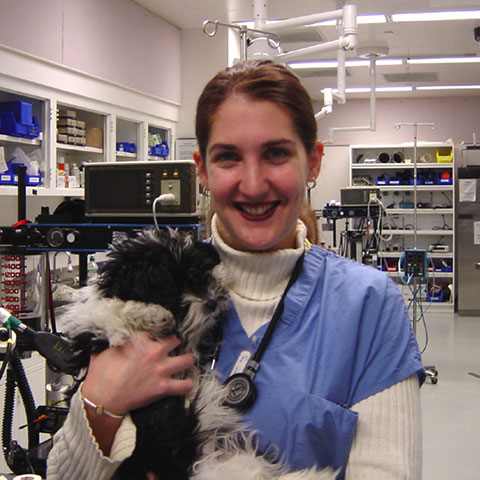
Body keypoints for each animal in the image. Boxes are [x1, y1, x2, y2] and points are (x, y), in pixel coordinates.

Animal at [58, 228, 336, 480]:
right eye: (171, 289)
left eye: (197, 274)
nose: (211, 302)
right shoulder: (96, 333)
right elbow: (107, 312)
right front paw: (149, 313)